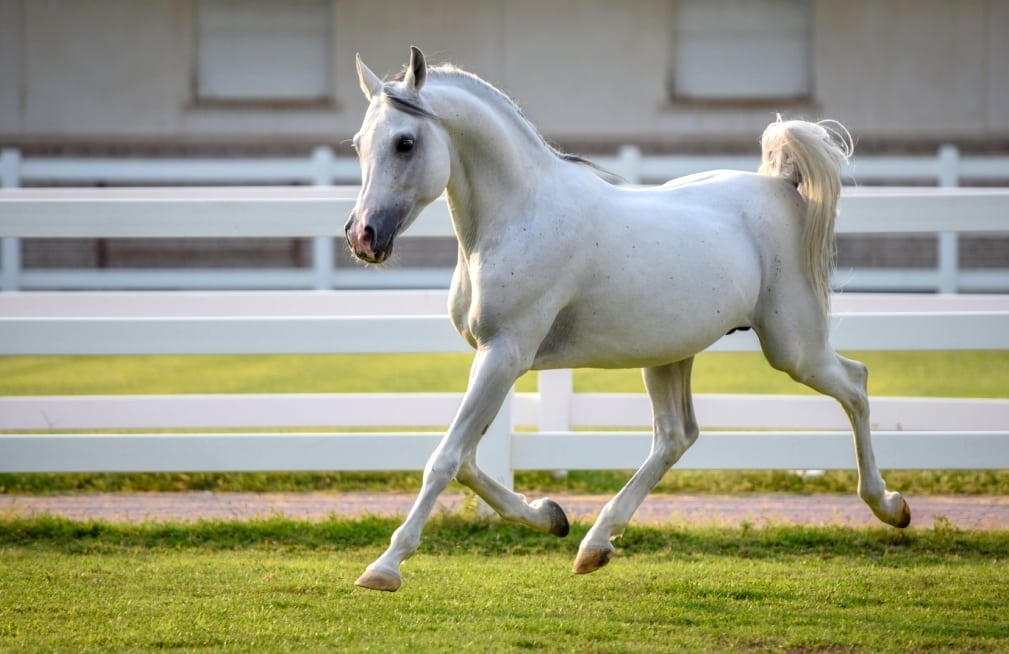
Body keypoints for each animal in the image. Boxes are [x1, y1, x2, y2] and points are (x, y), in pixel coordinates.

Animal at [345, 44, 908, 589]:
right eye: (357, 143)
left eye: (404, 143)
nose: (362, 236)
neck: (519, 217)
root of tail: (780, 188)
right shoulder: (493, 360)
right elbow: (467, 461)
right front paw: (549, 514)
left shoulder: (504, 354)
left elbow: (445, 460)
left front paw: (385, 567)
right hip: (670, 354)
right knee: (676, 436)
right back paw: (594, 544)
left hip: (794, 347)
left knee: (855, 385)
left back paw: (891, 506)